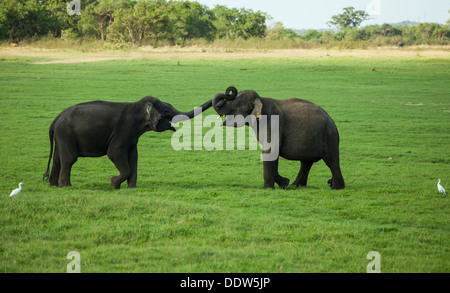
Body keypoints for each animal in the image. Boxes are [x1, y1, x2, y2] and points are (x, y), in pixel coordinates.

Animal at [42, 96, 213, 187]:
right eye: (166, 111)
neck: (137, 107)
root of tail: (55, 119)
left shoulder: (132, 137)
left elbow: (134, 157)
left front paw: (132, 188)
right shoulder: (123, 131)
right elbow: (114, 153)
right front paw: (113, 183)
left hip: (61, 137)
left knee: (58, 159)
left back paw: (53, 185)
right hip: (66, 135)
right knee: (69, 159)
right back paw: (67, 186)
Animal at [211, 86, 344, 189]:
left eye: (235, 104)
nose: (230, 92)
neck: (261, 99)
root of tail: (331, 120)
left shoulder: (273, 122)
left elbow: (269, 150)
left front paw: (268, 188)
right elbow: (273, 153)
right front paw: (284, 183)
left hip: (329, 136)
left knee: (331, 161)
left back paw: (336, 187)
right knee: (306, 162)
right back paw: (295, 186)